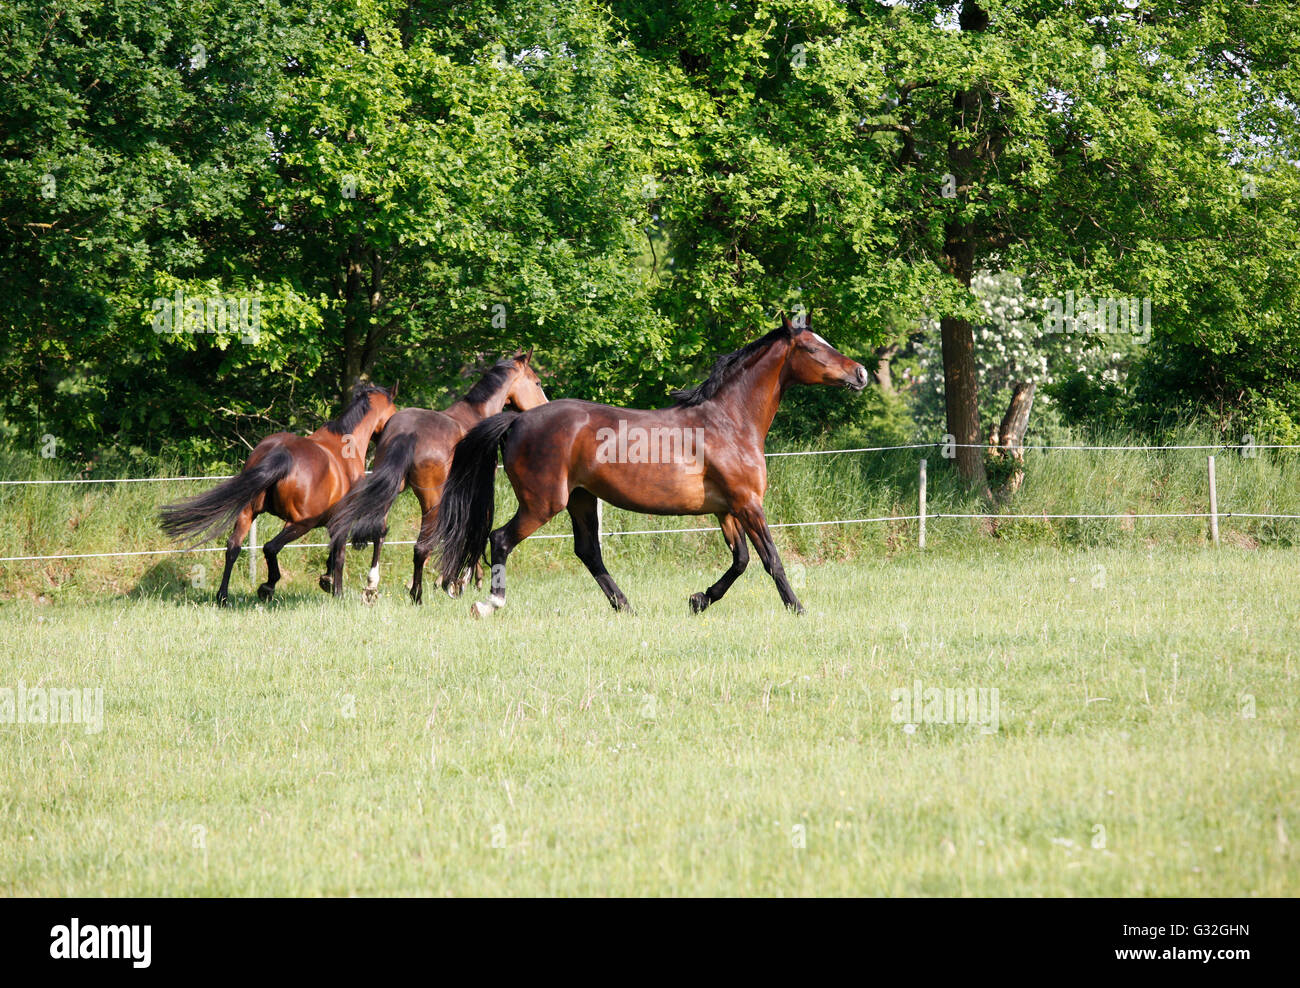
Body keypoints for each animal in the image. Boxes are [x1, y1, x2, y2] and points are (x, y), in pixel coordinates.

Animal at [156, 382, 392, 605]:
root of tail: (281, 454)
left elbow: (333, 553)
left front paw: (327, 580)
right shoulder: (342, 521)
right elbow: (340, 556)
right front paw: (337, 591)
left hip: (248, 513)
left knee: (233, 547)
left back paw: (223, 596)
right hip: (300, 524)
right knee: (270, 547)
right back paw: (267, 588)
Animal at [330, 353, 548, 603]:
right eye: (537, 383)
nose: (543, 407)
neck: (476, 415)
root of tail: (409, 432)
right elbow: (474, 529)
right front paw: (461, 580)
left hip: (390, 491)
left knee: (379, 532)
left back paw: (371, 587)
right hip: (431, 501)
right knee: (420, 547)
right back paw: (417, 594)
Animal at [431, 318, 868, 618]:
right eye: (813, 349)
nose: (861, 373)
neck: (729, 421)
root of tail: (517, 420)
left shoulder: (727, 509)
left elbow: (741, 560)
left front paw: (699, 600)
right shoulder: (748, 503)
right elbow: (770, 559)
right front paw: (798, 608)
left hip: (581, 499)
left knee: (588, 551)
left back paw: (626, 606)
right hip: (543, 503)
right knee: (501, 538)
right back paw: (491, 603)